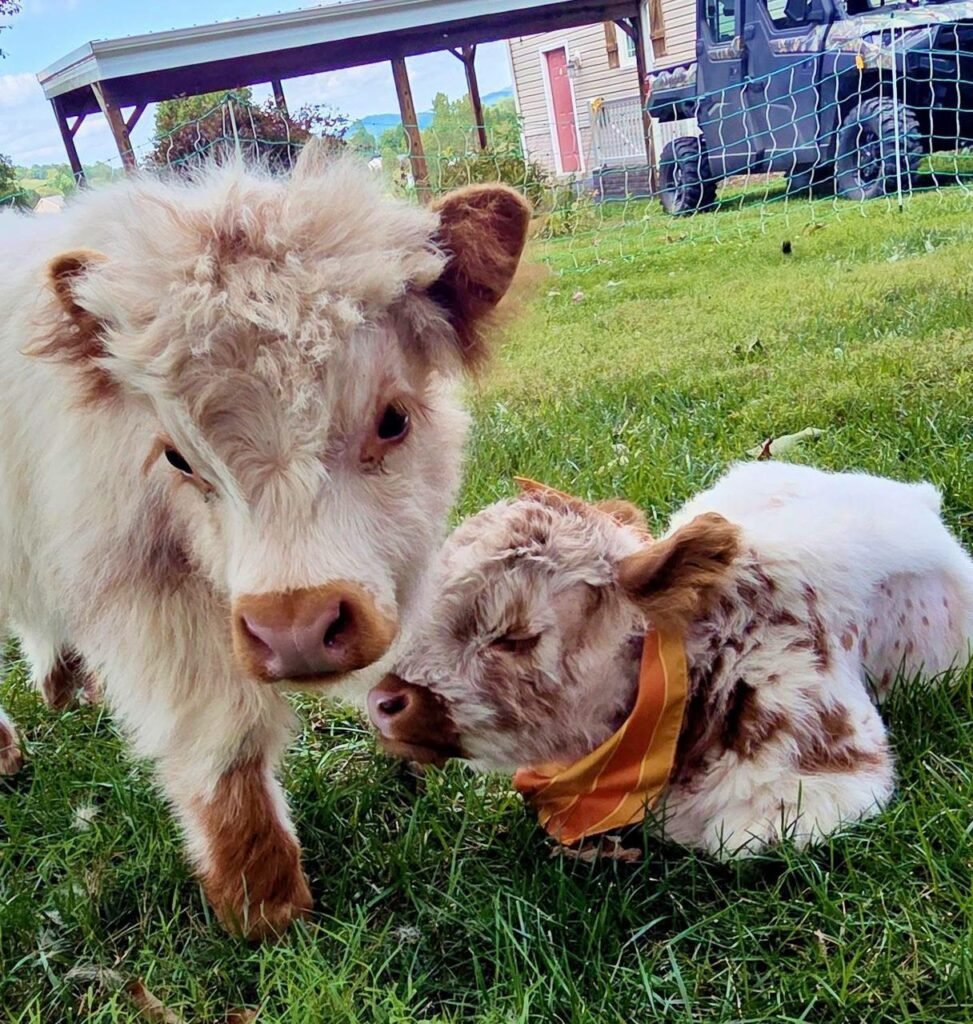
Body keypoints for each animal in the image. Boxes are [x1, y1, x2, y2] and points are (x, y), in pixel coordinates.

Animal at [0, 143, 530, 938]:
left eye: (393, 418)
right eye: (177, 458)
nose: (297, 629)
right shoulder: (147, 596)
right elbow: (224, 743)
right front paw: (265, 904)